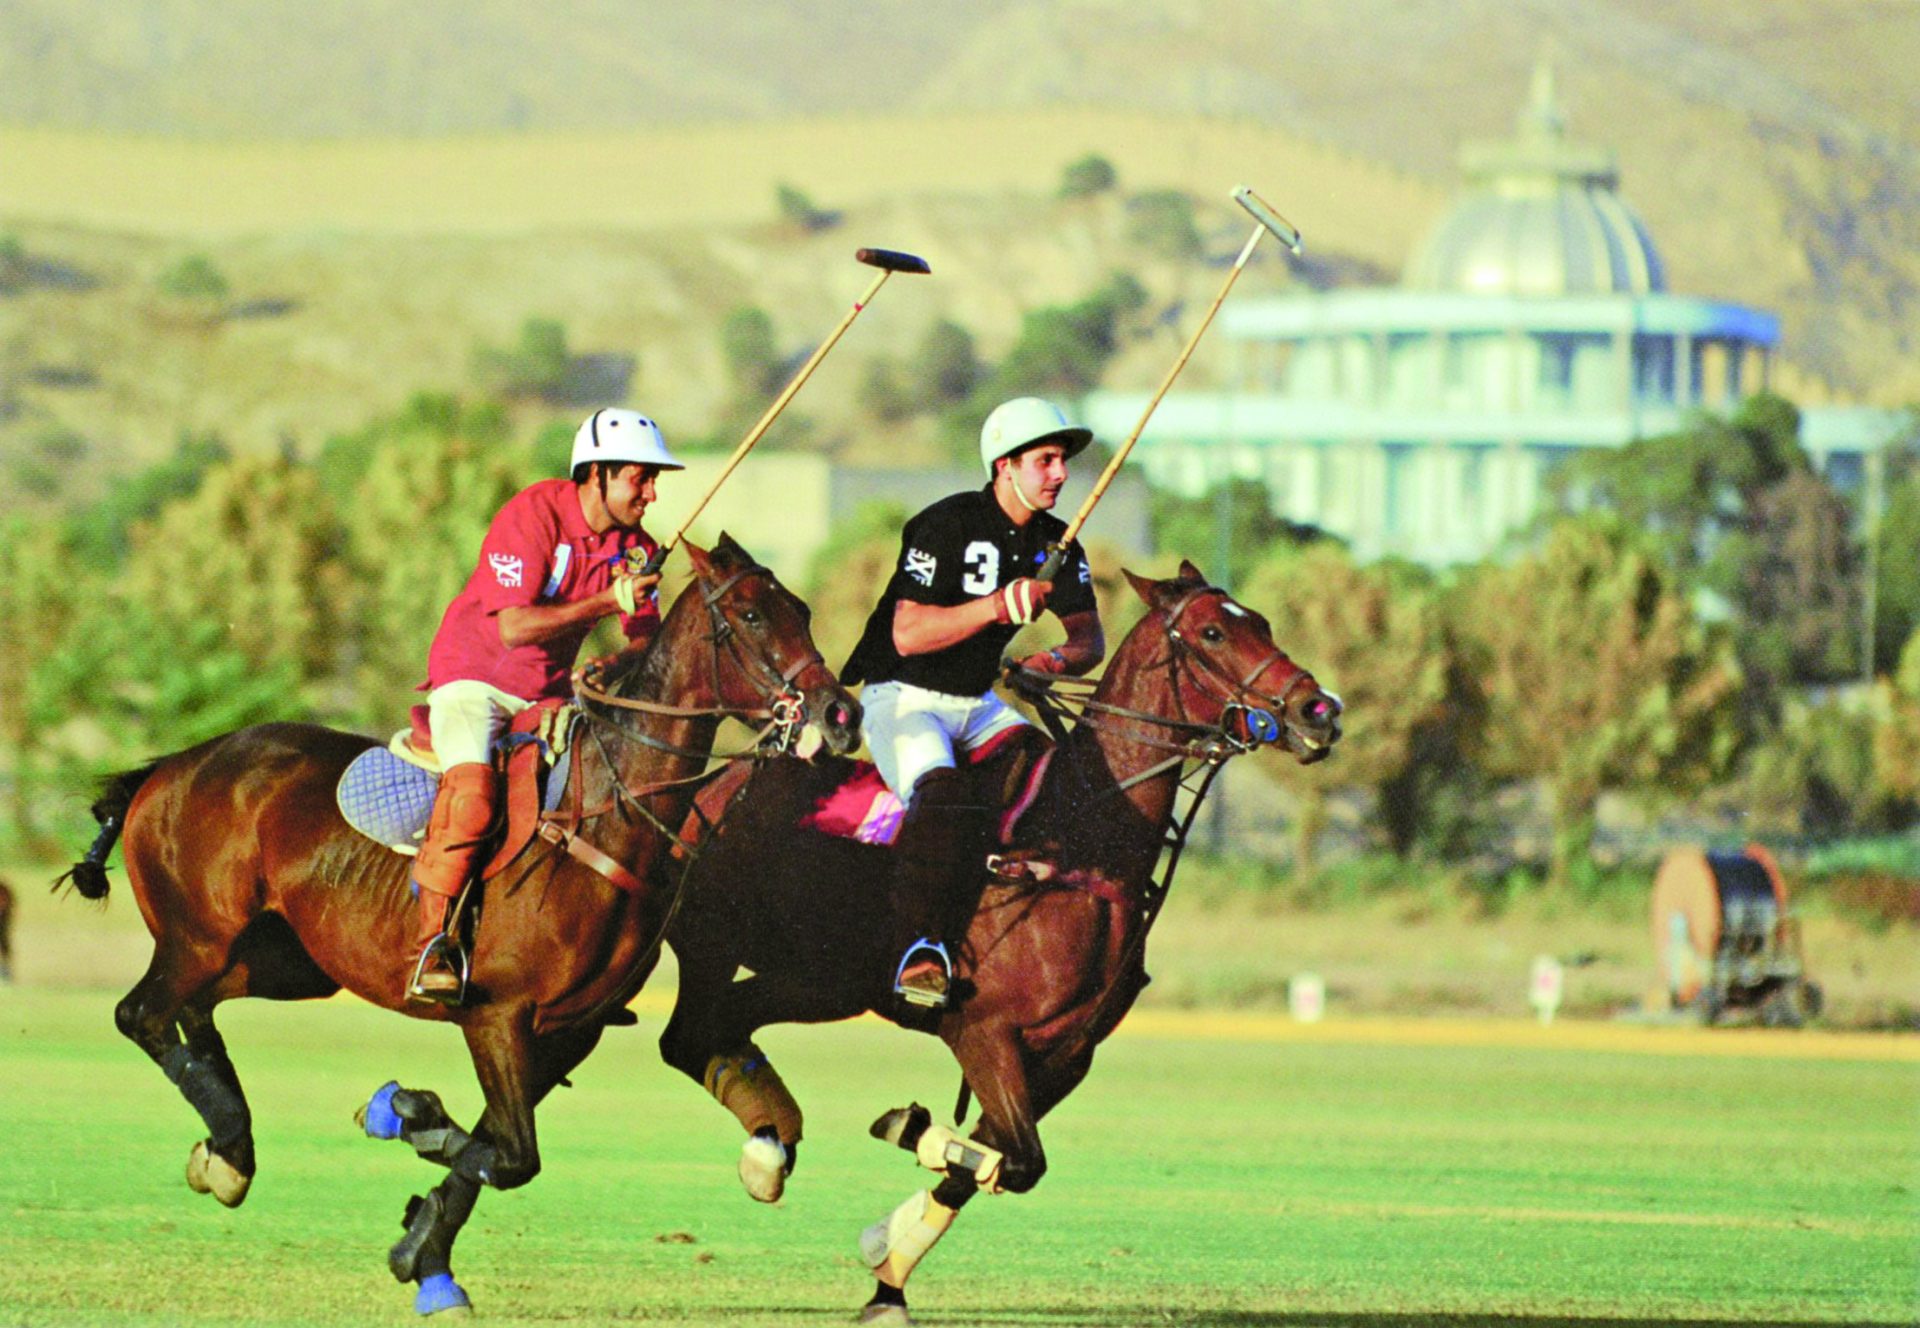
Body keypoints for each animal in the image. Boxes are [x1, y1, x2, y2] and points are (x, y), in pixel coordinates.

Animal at [58, 537, 856, 1320]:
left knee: (195, 1011)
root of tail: (171, 765)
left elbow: (493, 1149)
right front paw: (396, 1113)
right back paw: (229, 1140)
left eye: (803, 610)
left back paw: (228, 1150)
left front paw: (423, 1256)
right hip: (201, 937)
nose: (840, 713)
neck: (608, 809)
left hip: (281, 963)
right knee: (141, 1013)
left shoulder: (571, 1028)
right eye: (751, 615)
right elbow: (510, 1153)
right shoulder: (495, 1013)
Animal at [656, 556, 1336, 1320]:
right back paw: (768, 1152)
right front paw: (907, 1131)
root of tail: (711, 785)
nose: (1319, 710)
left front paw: (885, 1270)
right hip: (718, 946)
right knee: (689, 1034)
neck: (1081, 833)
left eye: (1265, 623)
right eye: (1215, 631)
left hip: (820, 981)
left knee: (722, 1026)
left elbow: (995, 1165)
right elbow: (1017, 1159)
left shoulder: (1067, 1054)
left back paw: (771, 1141)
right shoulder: (982, 1031)